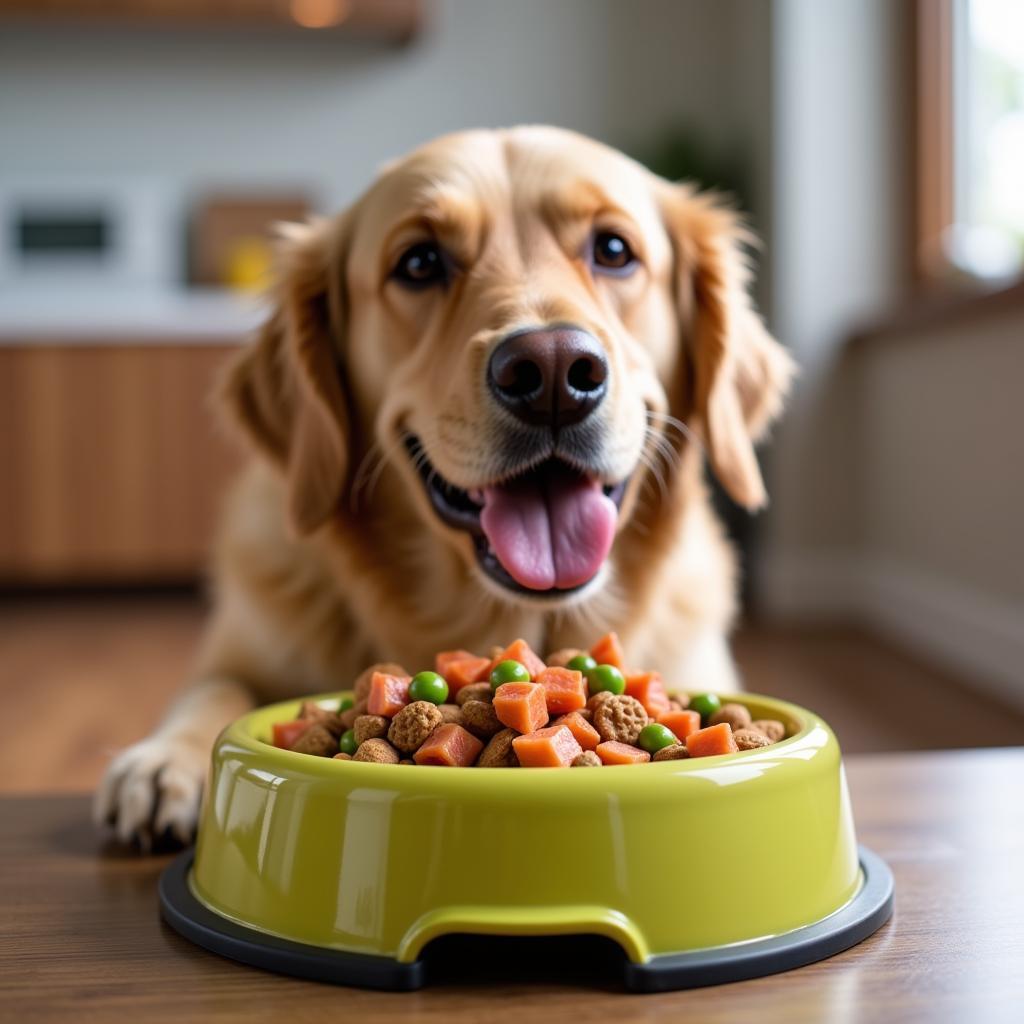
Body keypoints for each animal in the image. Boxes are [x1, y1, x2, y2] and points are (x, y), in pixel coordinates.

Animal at [94, 125, 790, 847]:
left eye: (614, 251)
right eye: (420, 262)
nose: (552, 372)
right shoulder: (236, 652)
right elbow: (213, 692)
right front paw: (165, 761)